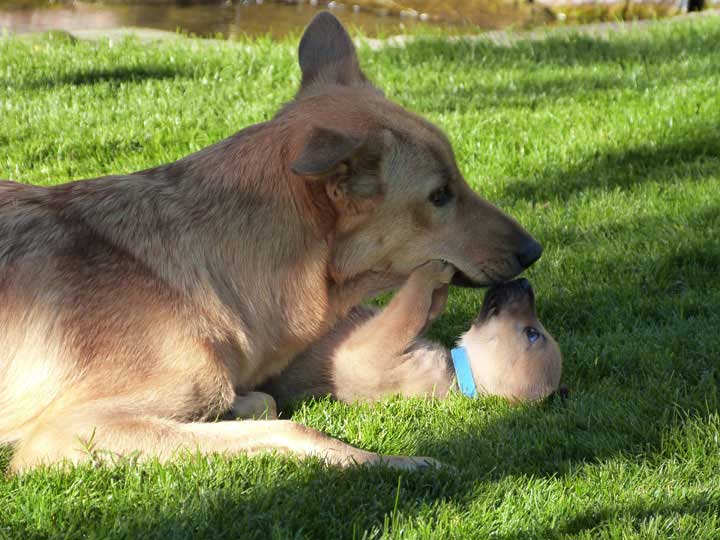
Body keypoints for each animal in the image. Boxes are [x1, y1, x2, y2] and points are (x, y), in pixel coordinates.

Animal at [0, 10, 540, 470]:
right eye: (440, 194)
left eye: (457, 177)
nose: (534, 252)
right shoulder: (68, 430)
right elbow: (292, 427)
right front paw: (391, 461)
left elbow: (263, 402)